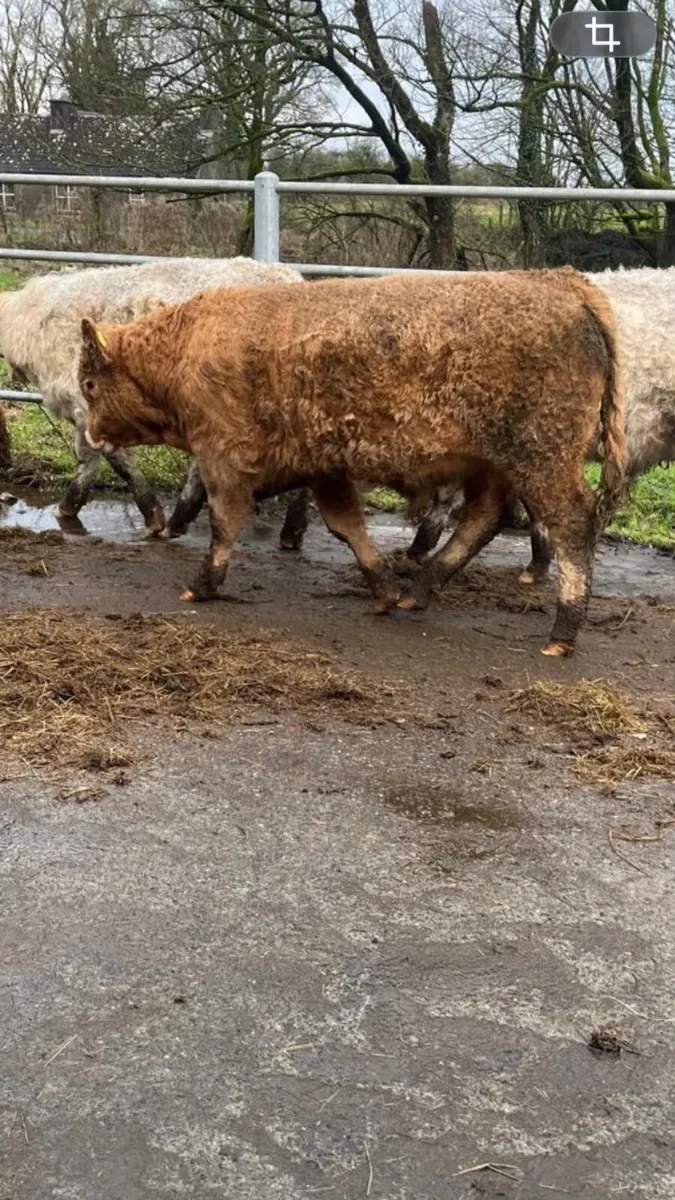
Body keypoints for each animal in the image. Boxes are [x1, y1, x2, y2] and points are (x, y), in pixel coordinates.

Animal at [79, 268, 626, 656]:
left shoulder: (224, 458)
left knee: (572, 523)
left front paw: (202, 586)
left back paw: (562, 632)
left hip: (543, 456)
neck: (183, 348)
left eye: (88, 383)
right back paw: (419, 589)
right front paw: (382, 589)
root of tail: (562, 283)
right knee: (484, 518)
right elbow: (348, 527)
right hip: (493, 464)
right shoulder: (324, 469)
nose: (90, 433)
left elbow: (223, 524)